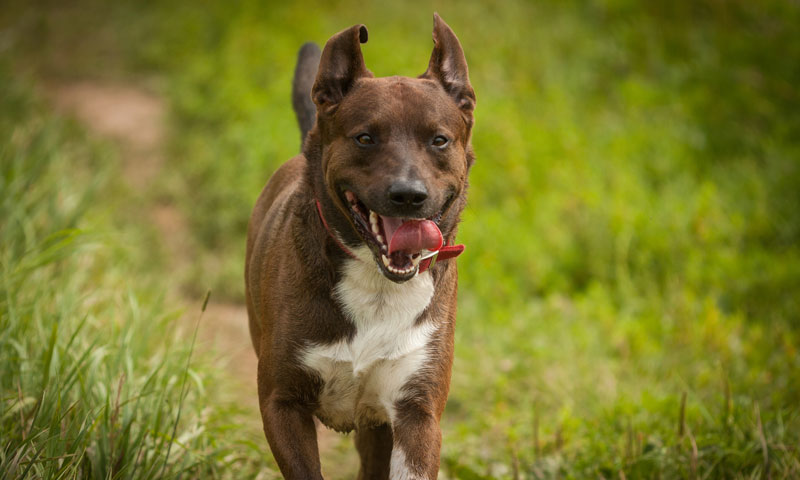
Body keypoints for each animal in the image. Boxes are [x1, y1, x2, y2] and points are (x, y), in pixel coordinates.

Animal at [245, 13, 476, 478]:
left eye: (439, 140)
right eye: (365, 138)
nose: (408, 195)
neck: (377, 282)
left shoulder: (416, 412)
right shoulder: (282, 403)